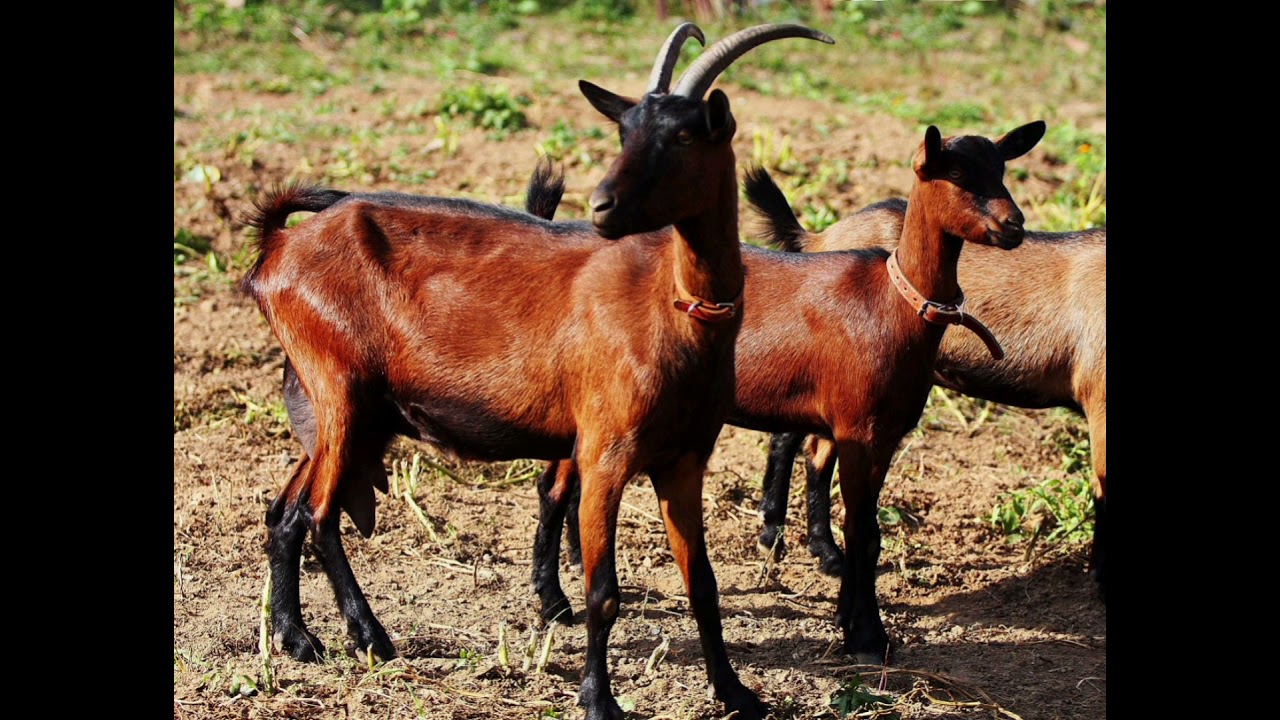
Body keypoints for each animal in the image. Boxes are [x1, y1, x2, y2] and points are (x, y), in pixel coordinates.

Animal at [242, 23, 833, 720]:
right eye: (624, 130)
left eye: (686, 135)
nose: (603, 205)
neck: (673, 306)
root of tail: (279, 247)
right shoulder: (605, 451)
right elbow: (604, 591)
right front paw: (599, 700)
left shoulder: (684, 458)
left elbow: (703, 583)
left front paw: (736, 692)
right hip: (340, 392)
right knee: (318, 515)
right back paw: (357, 637)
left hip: (344, 411)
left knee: (287, 512)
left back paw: (301, 638)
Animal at [530, 122, 1046, 663]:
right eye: (957, 172)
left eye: (1001, 168)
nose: (1014, 225)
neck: (893, 303)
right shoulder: (858, 429)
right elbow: (862, 533)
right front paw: (867, 636)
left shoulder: (882, 435)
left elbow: (866, 533)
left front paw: (849, 620)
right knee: (554, 488)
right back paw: (553, 602)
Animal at [743, 171, 1107, 598]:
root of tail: (820, 238)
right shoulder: (1100, 398)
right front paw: (1101, 576)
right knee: (789, 439)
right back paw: (774, 538)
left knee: (817, 451)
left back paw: (826, 554)